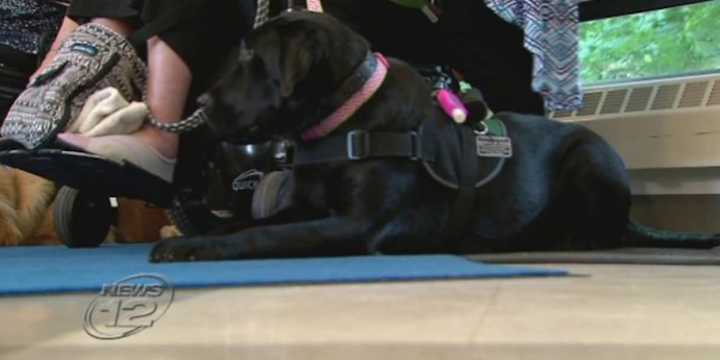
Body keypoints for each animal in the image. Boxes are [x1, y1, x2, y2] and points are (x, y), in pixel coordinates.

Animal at [150, 11, 636, 262]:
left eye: (253, 57)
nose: (201, 103)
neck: (343, 118)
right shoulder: (303, 205)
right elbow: (250, 222)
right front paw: (201, 234)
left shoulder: (357, 224)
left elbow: (263, 237)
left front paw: (192, 246)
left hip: (590, 156)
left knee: (606, 228)